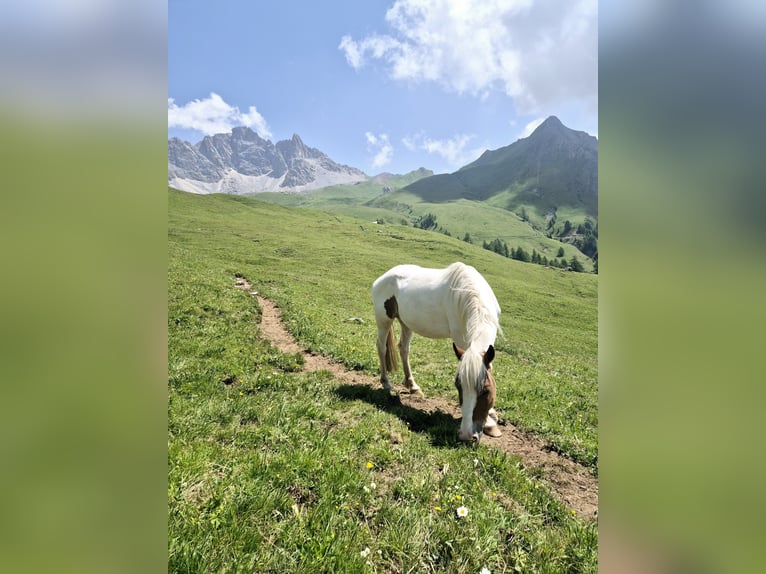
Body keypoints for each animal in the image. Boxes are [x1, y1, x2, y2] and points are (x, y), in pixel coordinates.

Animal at [372, 262, 502, 442]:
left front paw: (491, 417)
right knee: (382, 347)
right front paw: (490, 422)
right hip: (384, 321)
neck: (471, 295)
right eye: (458, 386)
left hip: (406, 323)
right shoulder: (461, 340)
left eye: (486, 390)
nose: (466, 435)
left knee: (404, 348)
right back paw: (386, 383)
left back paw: (413, 386)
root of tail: (383, 277)